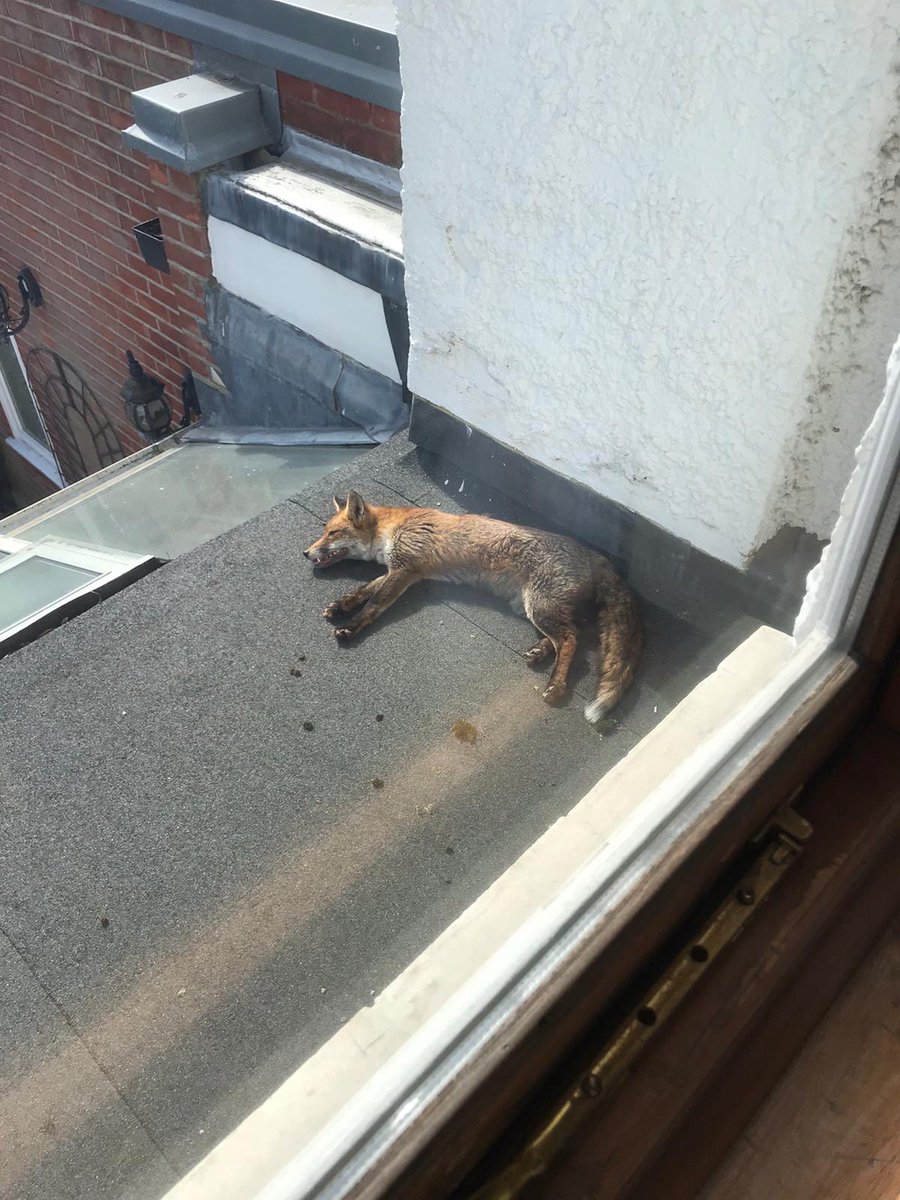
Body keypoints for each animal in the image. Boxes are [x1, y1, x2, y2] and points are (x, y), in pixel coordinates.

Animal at [304, 491, 642, 724]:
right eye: (323, 530)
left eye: (332, 533)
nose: (306, 552)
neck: (395, 528)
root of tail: (595, 557)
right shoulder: (396, 570)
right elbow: (363, 590)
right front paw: (340, 606)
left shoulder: (406, 570)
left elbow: (374, 604)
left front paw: (350, 627)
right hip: (533, 606)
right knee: (573, 630)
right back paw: (539, 652)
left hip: (539, 605)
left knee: (571, 639)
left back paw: (556, 686)